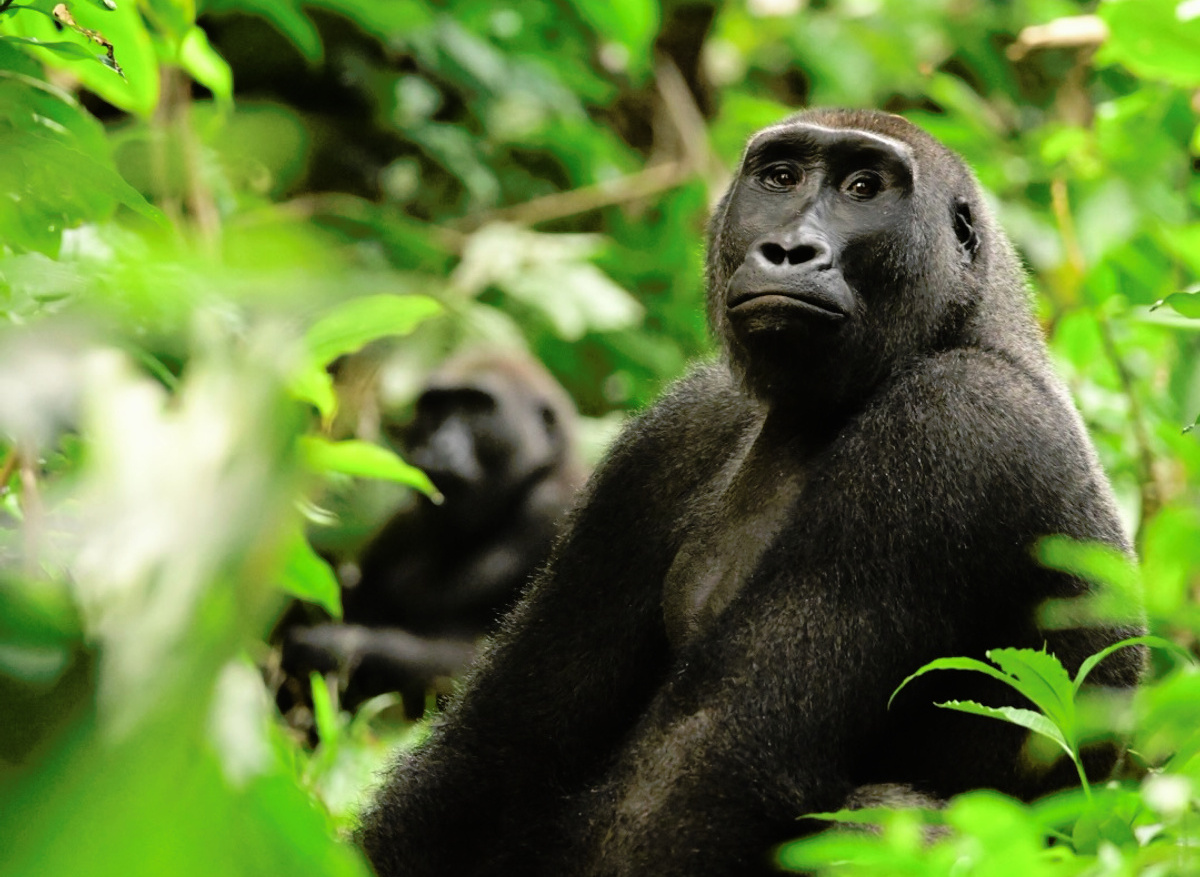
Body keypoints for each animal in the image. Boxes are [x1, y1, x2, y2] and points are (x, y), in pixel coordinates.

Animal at [283, 350, 586, 718]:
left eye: (475, 409)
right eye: (435, 409)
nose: (438, 444)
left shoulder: (556, 508)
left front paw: (333, 648)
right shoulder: (398, 529)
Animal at [355, 109, 1146, 875]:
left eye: (864, 188)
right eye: (781, 177)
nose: (790, 250)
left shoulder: (957, 424)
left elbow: (712, 766)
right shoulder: (675, 429)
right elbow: (508, 738)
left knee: (880, 815)